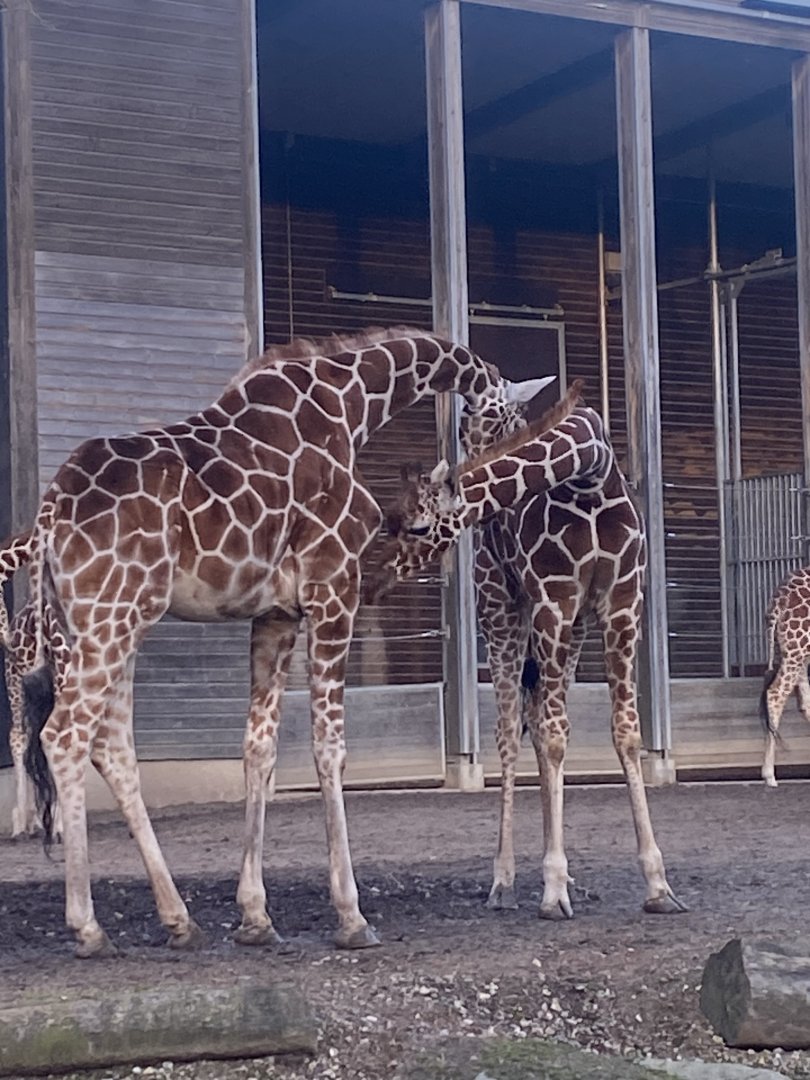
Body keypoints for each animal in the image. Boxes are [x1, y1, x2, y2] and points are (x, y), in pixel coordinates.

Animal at [10, 326, 550, 958]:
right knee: (64, 735)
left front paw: (255, 916)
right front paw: (351, 916)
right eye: (508, 419)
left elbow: (260, 749)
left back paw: (179, 920)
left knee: (112, 748)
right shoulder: (333, 589)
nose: (505, 491)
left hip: (105, 622)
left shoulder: (277, 613)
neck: (353, 404)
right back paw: (89, 928)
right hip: (109, 617)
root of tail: (51, 513)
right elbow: (329, 748)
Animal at [368, 382, 685, 919]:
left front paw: (658, 884)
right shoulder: (553, 601)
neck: (591, 475)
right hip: (502, 613)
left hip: (572, 630)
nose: (375, 579)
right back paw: (505, 880)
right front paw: (552, 889)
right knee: (508, 732)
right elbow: (556, 737)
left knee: (535, 722)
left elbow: (625, 733)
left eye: (415, 526)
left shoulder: (621, 604)